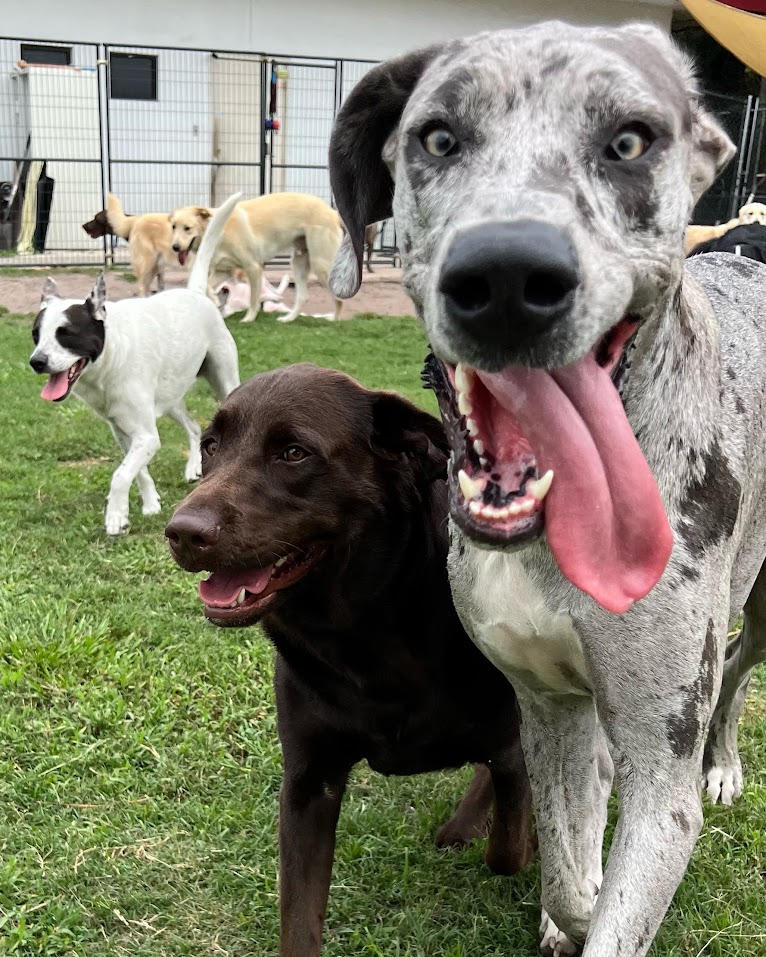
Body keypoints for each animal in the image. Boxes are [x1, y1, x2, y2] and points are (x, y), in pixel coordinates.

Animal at [30, 190, 242, 536]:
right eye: (36, 335)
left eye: (66, 334)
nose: (37, 362)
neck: (110, 361)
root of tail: (196, 293)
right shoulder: (124, 432)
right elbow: (135, 470)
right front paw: (150, 503)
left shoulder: (145, 435)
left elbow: (120, 475)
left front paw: (115, 516)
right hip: (170, 399)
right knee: (195, 427)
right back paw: (194, 466)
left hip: (225, 382)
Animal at [172, 192, 346, 324]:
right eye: (173, 226)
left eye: (187, 228)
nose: (175, 247)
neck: (217, 228)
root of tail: (332, 212)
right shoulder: (225, 271)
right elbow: (208, 285)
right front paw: (215, 299)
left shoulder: (253, 268)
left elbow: (253, 300)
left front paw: (248, 319)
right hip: (299, 262)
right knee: (303, 297)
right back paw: (288, 319)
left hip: (320, 265)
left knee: (338, 297)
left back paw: (335, 320)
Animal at [328, 20, 766, 956]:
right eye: (439, 138)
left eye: (629, 142)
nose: (505, 277)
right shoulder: (547, 704)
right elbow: (569, 873)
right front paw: (573, 899)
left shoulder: (661, 775)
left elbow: (619, 894)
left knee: (739, 673)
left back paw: (724, 765)